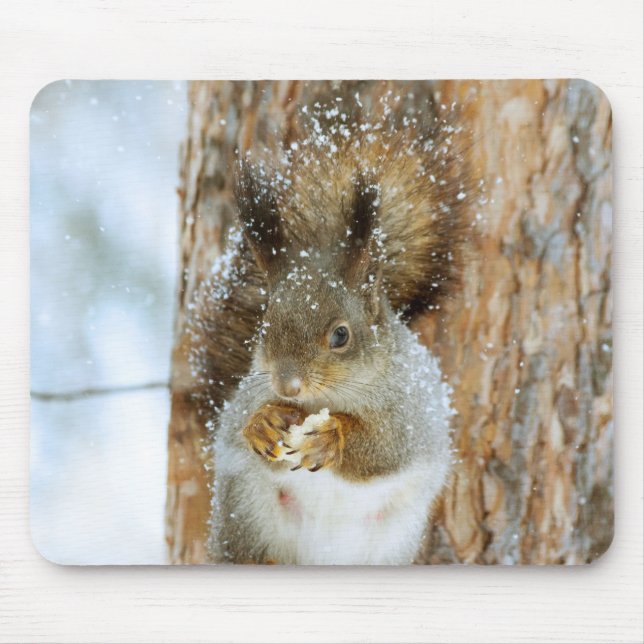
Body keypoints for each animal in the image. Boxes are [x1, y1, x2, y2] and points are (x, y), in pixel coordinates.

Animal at [188, 106, 473, 564]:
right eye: (264, 326)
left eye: (341, 335)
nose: (287, 385)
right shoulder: (246, 394)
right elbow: (236, 427)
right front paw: (263, 424)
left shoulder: (412, 412)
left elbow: (386, 448)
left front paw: (331, 437)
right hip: (245, 515)